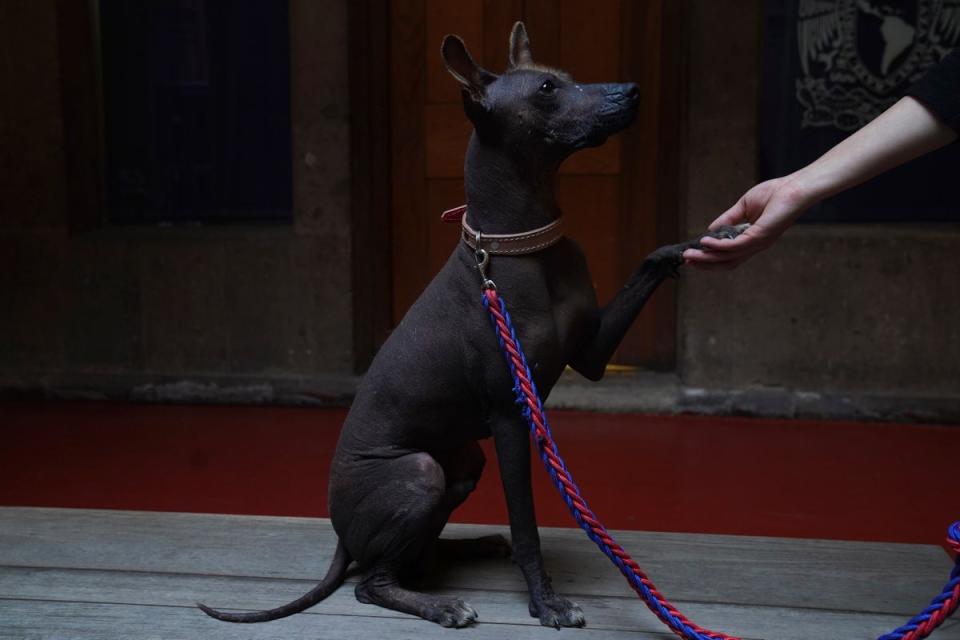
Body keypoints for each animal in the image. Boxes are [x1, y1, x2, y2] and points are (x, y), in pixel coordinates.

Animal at [201, 21, 744, 632]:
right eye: (547, 89)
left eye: (567, 76)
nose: (630, 91)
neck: (522, 246)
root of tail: (342, 534)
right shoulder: (512, 418)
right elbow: (528, 523)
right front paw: (545, 602)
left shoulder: (592, 355)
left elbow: (652, 261)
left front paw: (711, 237)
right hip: (422, 472)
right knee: (372, 582)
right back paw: (441, 604)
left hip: (464, 461)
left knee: (419, 554)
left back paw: (477, 545)